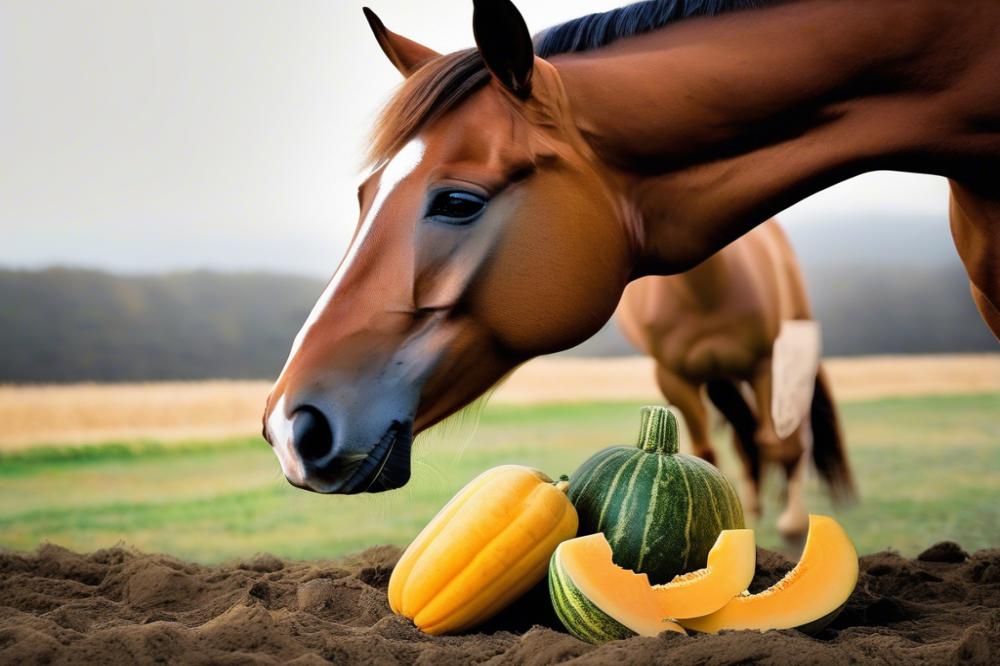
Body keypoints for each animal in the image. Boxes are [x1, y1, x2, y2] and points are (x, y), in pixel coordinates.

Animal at [616, 219, 852, 540]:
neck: (703, 293)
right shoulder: (673, 378)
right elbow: (706, 452)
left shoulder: (766, 364)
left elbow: (783, 446)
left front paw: (793, 527)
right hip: (720, 378)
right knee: (744, 436)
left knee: (794, 433)